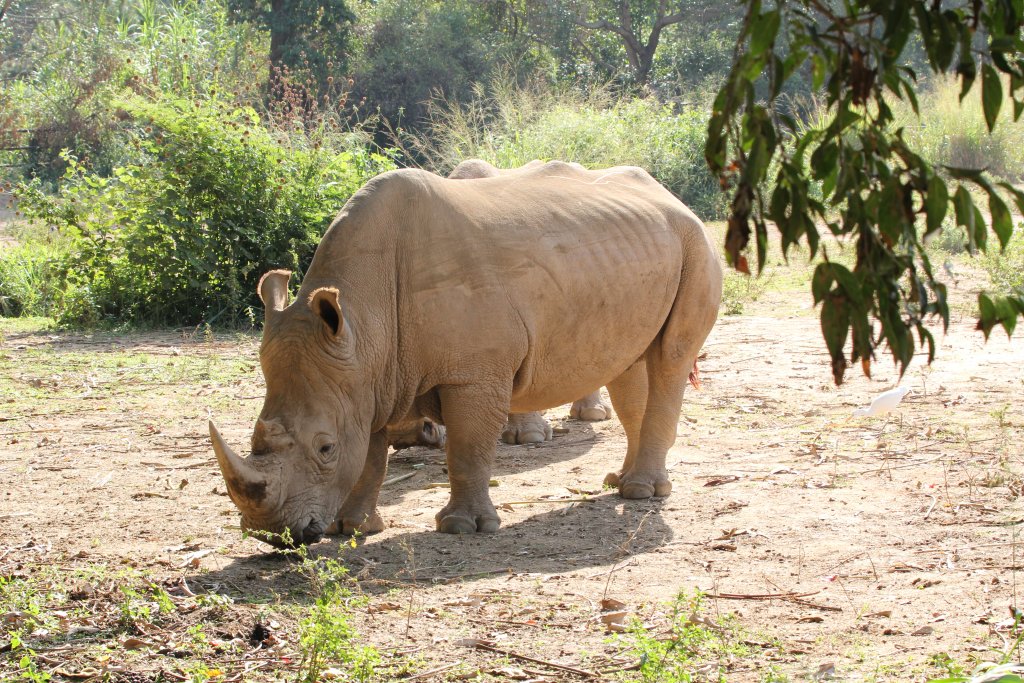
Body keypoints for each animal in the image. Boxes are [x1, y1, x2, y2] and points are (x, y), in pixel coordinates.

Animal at [210, 161, 722, 545]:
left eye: (325, 448)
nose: (271, 535)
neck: (366, 318)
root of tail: (673, 198)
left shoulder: (472, 373)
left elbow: (468, 447)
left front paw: (463, 528)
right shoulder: (364, 376)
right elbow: (370, 456)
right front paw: (350, 527)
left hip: (697, 242)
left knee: (671, 358)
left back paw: (640, 493)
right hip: (631, 252)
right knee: (628, 364)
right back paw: (618, 483)